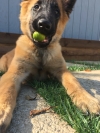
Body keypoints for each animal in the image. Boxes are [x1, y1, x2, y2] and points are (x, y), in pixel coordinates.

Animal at [0, 0, 100, 132]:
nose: (44, 25)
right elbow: (7, 90)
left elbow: (74, 82)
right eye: (36, 7)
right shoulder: (14, 73)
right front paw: (2, 112)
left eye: (57, 12)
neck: (40, 50)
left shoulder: (62, 70)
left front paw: (88, 100)